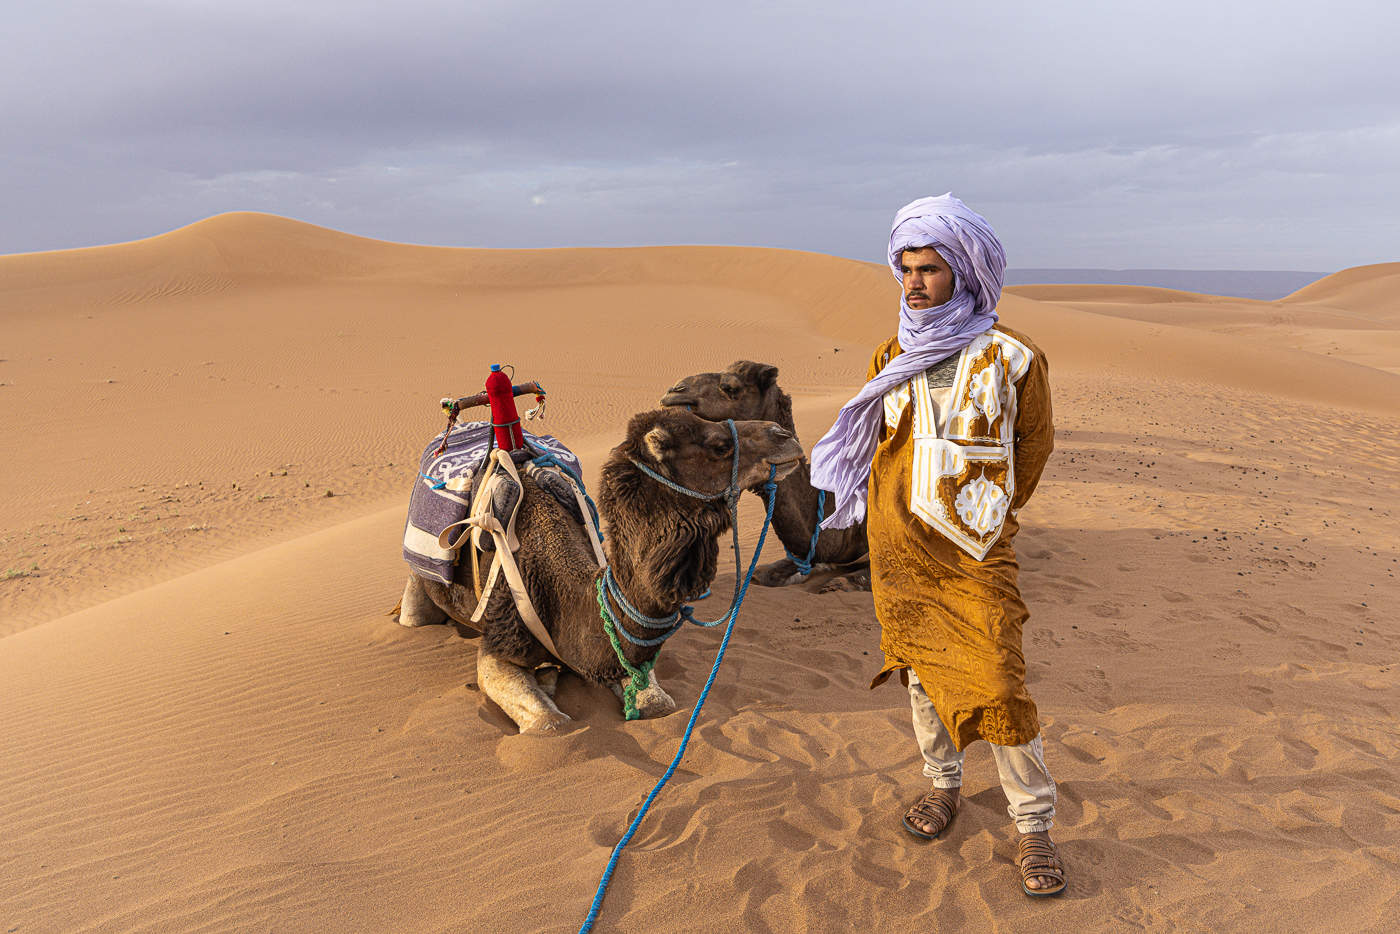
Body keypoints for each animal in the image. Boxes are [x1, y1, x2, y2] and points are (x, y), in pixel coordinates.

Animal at [395, 407, 804, 732]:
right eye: (719, 445)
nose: (785, 435)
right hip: (420, 584)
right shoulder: (501, 634)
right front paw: (547, 682)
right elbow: (550, 723)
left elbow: (658, 702)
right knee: (415, 613)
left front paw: (551, 676)